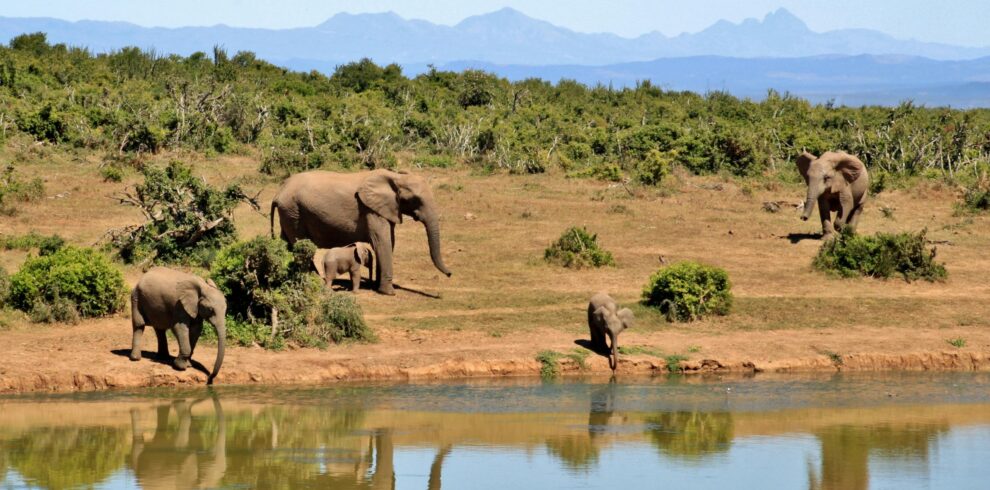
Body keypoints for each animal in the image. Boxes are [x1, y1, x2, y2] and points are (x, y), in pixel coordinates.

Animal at [271, 169, 452, 295]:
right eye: (416, 200)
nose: (450, 274)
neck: (395, 177)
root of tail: (279, 192)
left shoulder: (386, 209)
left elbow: (389, 242)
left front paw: (378, 286)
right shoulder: (371, 210)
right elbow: (382, 242)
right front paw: (388, 292)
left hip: (289, 213)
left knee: (287, 243)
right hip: (293, 211)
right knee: (300, 245)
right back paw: (314, 280)